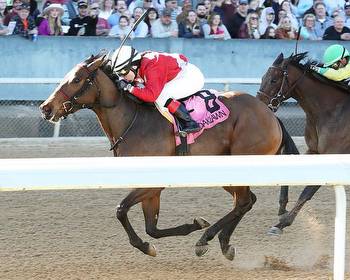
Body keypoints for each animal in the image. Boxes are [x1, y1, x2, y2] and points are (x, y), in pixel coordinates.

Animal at [39, 52, 298, 258]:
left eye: (76, 79)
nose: (46, 108)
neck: (132, 120)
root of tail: (270, 114)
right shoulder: (148, 186)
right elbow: (151, 228)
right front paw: (176, 232)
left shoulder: (153, 182)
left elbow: (121, 210)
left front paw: (150, 245)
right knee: (246, 201)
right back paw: (223, 243)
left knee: (243, 202)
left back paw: (206, 240)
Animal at [256, 52, 348, 234]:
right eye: (263, 77)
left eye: (274, 80)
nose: (258, 106)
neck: (330, 111)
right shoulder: (313, 151)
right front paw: (282, 207)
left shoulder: (333, 157)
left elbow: (307, 192)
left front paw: (282, 223)